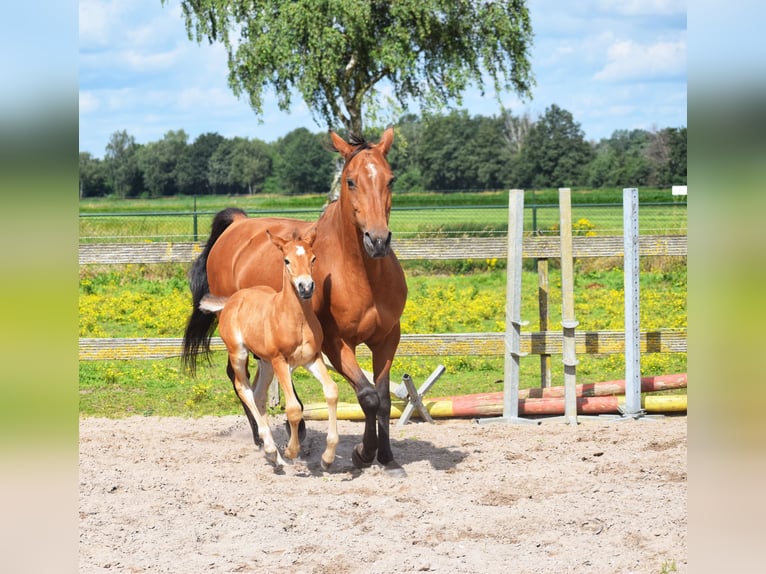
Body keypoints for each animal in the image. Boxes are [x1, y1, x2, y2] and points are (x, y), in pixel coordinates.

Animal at [200, 230, 340, 472]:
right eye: (286, 260)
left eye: (313, 258)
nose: (306, 287)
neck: (296, 318)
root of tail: (232, 300)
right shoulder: (280, 361)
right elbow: (293, 408)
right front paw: (292, 451)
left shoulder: (312, 359)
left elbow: (331, 390)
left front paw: (327, 457)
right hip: (240, 354)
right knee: (244, 389)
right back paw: (271, 450)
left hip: (265, 363)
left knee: (258, 395)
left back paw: (274, 456)